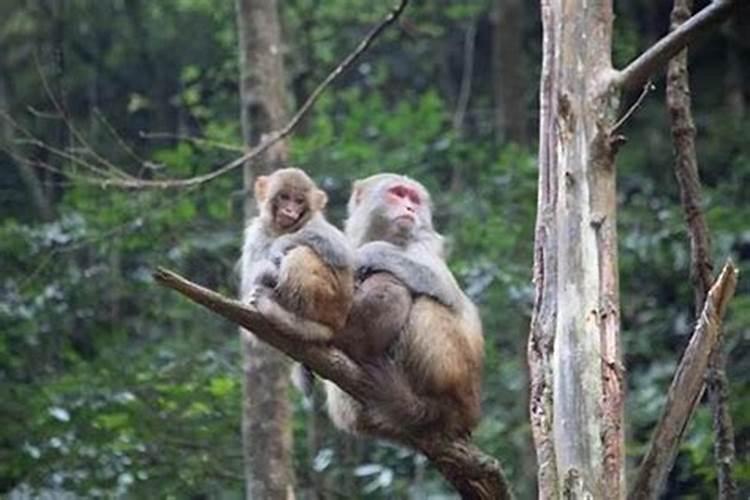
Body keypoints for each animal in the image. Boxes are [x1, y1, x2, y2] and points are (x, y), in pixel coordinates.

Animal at [242, 168, 356, 344]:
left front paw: (280, 244)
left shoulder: (316, 221)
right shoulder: (257, 232)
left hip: (330, 302)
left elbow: (341, 250)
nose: (289, 210)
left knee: (300, 254)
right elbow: (251, 273)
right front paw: (266, 271)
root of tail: (337, 324)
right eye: (284, 197)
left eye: (299, 201)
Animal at [326, 174, 484, 440]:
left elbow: (442, 286)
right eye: (398, 193)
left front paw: (370, 252)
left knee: (426, 303)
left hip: (461, 379)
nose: (410, 208)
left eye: (414, 198)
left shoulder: (425, 244)